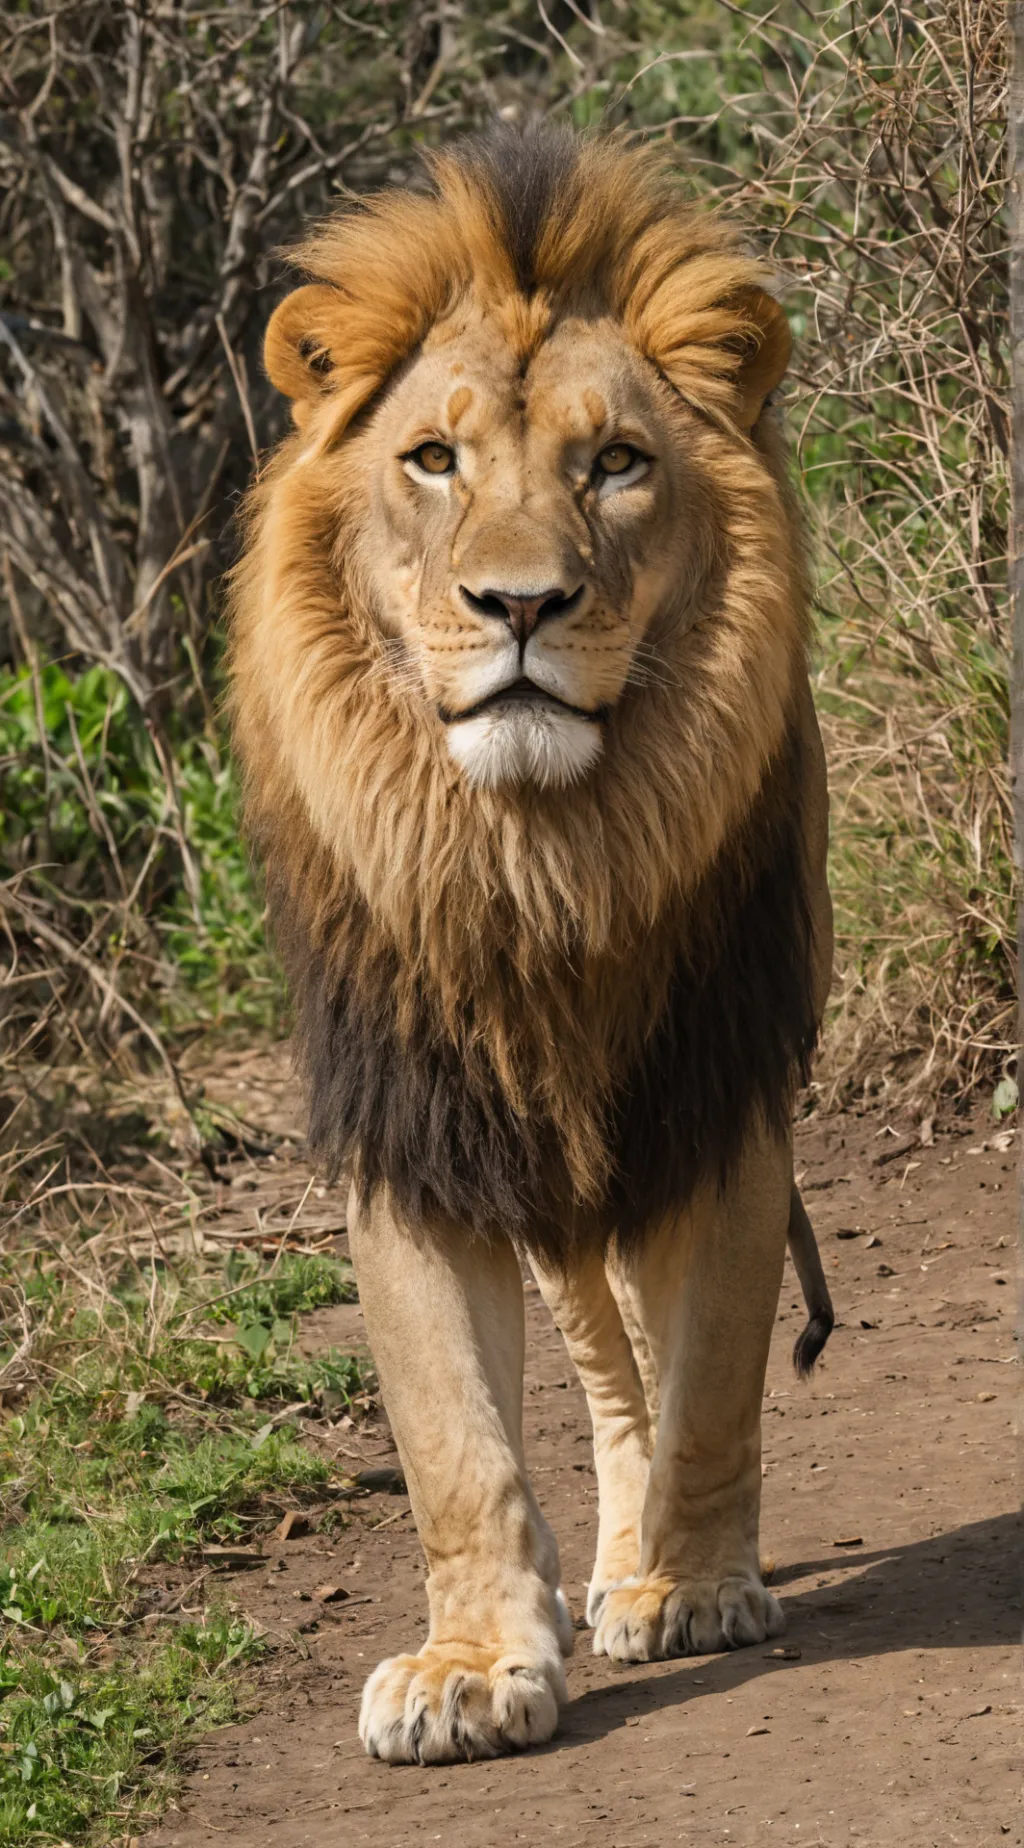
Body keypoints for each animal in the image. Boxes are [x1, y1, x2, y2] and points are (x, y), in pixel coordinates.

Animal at [229, 124, 834, 1766]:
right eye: (431, 460)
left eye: (615, 463)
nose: (520, 604)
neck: (530, 861)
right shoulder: (416, 1125)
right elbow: (454, 1438)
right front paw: (475, 1664)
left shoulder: (716, 1088)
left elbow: (716, 1374)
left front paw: (695, 1585)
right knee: (601, 1364)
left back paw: (645, 1567)